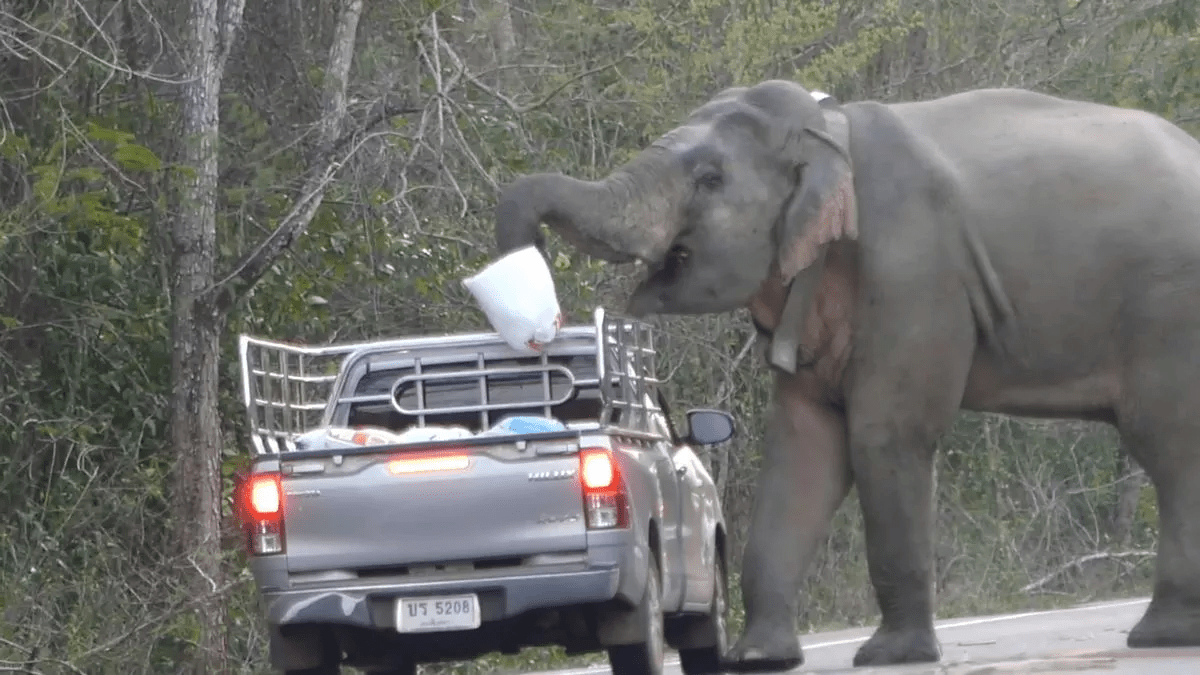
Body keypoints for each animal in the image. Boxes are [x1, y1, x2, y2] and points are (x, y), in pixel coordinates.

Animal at [484, 79, 1200, 667]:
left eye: (711, 179)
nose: (540, 318)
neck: (830, 127)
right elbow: (804, 446)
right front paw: (758, 659)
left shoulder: (914, 269)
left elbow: (884, 436)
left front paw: (891, 657)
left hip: (1168, 311)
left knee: (1166, 443)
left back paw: (1159, 635)